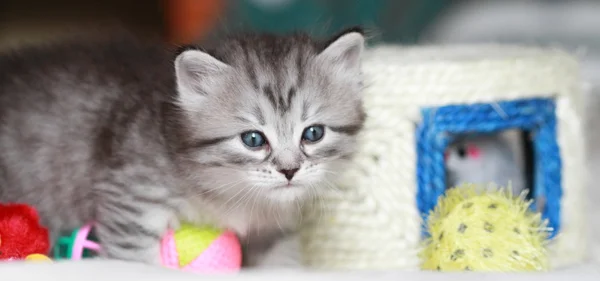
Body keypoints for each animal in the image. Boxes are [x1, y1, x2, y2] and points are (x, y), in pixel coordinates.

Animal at [0, 29, 366, 264]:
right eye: (253, 139)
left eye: (313, 134)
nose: (289, 171)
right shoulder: (131, 196)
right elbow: (133, 259)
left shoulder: (277, 233)